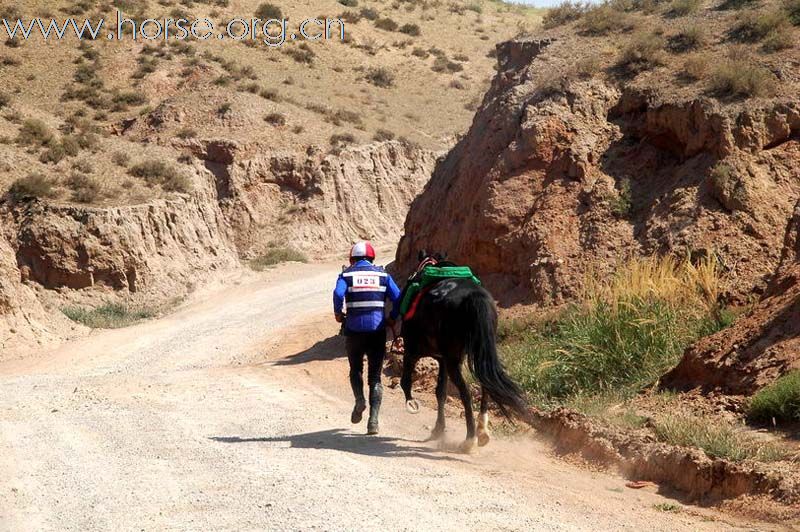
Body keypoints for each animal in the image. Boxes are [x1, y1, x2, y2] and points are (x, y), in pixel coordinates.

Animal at [398, 254, 524, 454]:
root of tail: (473, 296)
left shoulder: (413, 351)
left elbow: (406, 382)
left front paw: (413, 404)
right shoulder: (442, 359)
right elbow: (440, 392)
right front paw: (438, 429)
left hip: (452, 360)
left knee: (466, 393)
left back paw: (469, 440)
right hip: (479, 353)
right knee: (486, 384)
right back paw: (482, 431)